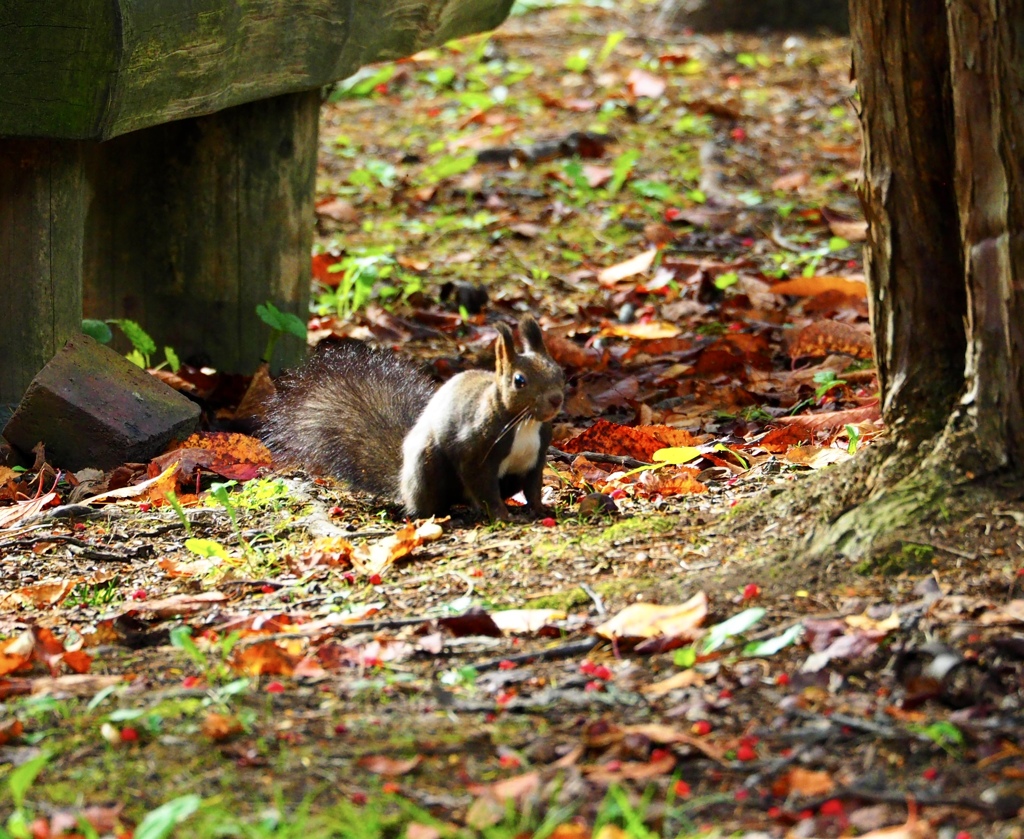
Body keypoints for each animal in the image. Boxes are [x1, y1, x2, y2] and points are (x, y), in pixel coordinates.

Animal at [262, 317, 569, 518]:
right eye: (520, 381)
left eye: (559, 371)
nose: (556, 399)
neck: (524, 423)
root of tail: (403, 484)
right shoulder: (475, 450)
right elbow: (483, 486)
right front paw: (501, 515)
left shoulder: (536, 456)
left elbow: (533, 487)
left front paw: (541, 509)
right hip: (427, 466)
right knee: (431, 504)